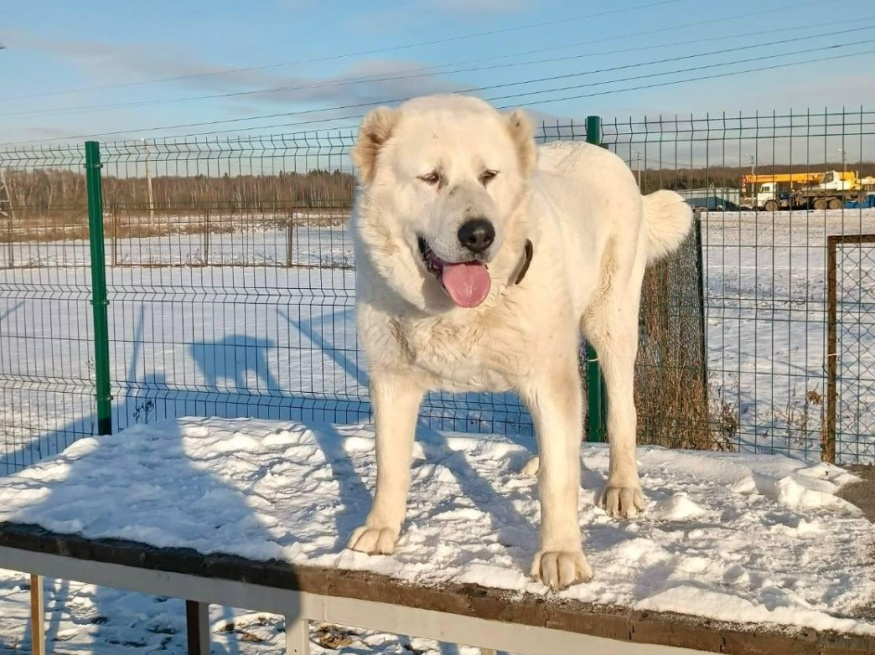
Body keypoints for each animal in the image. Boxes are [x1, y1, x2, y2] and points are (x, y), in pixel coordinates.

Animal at [342, 93, 692, 588]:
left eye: (489, 175)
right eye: (431, 177)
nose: (478, 234)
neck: (457, 311)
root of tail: (604, 155)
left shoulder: (549, 378)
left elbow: (560, 484)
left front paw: (560, 552)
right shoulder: (392, 381)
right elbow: (389, 465)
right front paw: (380, 530)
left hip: (612, 324)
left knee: (622, 412)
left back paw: (622, 486)